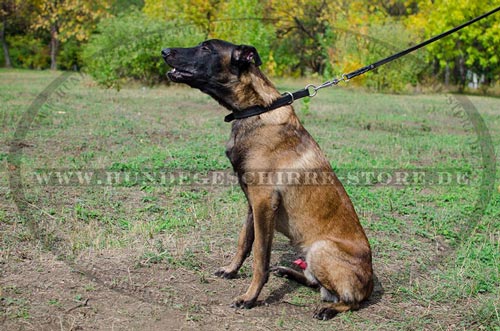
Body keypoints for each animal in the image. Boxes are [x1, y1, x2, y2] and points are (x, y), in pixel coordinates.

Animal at [160, 39, 372, 322]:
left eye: (207, 48)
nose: (164, 51)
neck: (256, 110)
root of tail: (371, 282)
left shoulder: (263, 202)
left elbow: (260, 257)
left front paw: (249, 297)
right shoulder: (252, 203)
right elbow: (244, 242)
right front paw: (231, 270)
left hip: (320, 248)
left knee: (351, 300)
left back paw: (329, 308)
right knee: (314, 282)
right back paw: (288, 272)